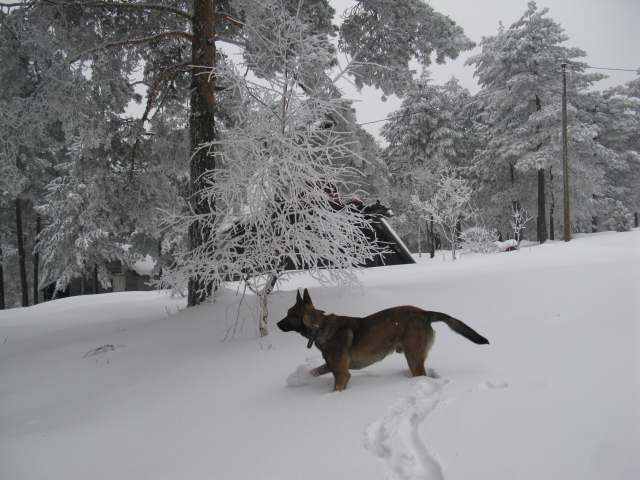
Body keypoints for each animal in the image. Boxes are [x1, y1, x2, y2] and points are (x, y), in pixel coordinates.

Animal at [276, 288, 490, 390]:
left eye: (288, 314)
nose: (277, 324)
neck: (319, 325)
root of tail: (424, 313)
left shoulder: (342, 373)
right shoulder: (331, 366)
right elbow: (313, 372)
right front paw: (297, 380)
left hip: (413, 357)